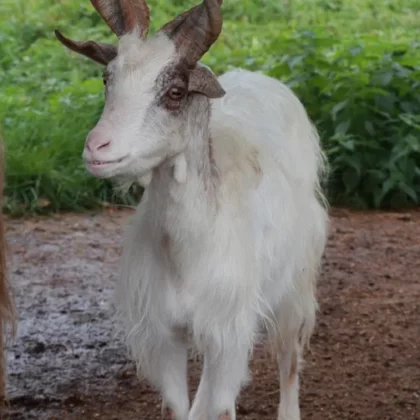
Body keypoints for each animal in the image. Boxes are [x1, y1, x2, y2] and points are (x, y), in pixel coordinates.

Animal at [56, 0, 332, 420]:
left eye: (175, 91)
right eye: (107, 79)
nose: (97, 147)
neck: (185, 255)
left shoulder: (228, 333)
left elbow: (220, 408)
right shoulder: (165, 334)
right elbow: (179, 408)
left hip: (296, 282)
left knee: (289, 357)